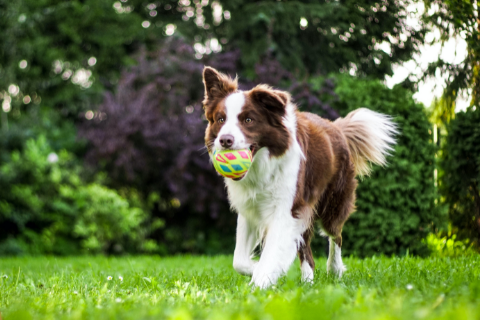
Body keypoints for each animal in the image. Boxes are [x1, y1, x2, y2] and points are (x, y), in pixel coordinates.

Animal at [202, 66, 398, 288]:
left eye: (248, 120)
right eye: (220, 119)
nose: (225, 140)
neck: (262, 166)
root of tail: (337, 127)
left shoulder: (286, 209)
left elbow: (271, 252)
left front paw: (261, 281)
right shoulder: (250, 208)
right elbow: (239, 260)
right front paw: (260, 270)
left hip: (332, 203)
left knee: (335, 235)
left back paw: (334, 269)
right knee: (307, 251)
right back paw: (307, 282)